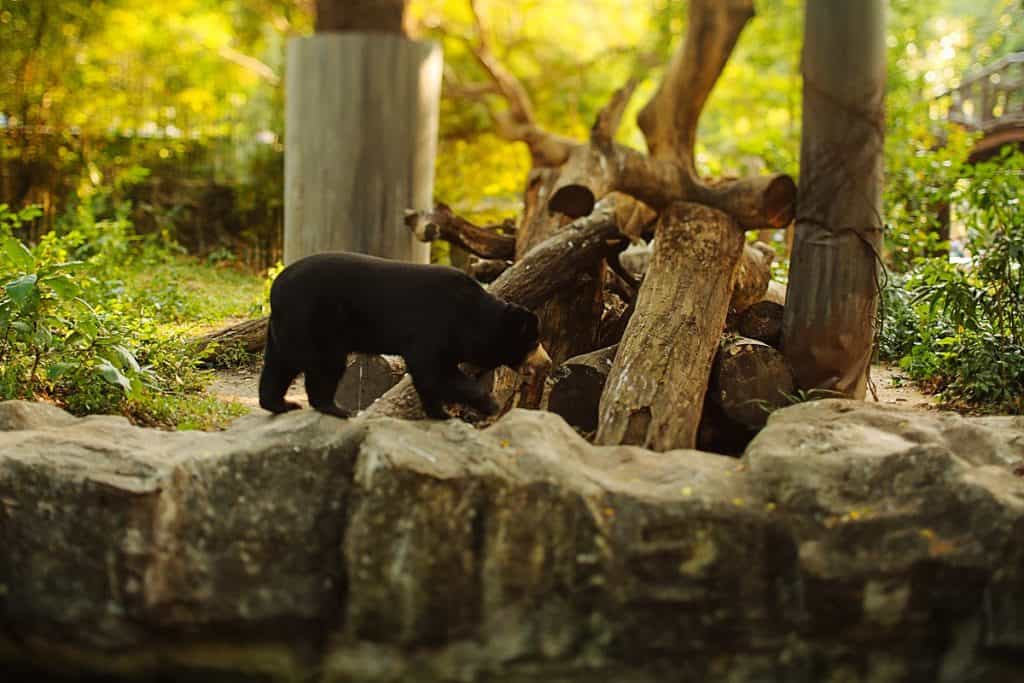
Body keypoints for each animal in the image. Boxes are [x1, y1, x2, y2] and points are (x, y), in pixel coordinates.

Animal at [260, 252, 548, 419]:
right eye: (534, 343)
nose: (548, 362)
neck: (472, 318)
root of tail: (276, 286)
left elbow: (431, 375)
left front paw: (439, 413)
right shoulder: (434, 327)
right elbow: (433, 371)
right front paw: (489, 405)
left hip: (284, 326)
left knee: (279, 364)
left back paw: (280, 404)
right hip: (317, 320)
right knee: (323, 364)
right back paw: (337, 409)